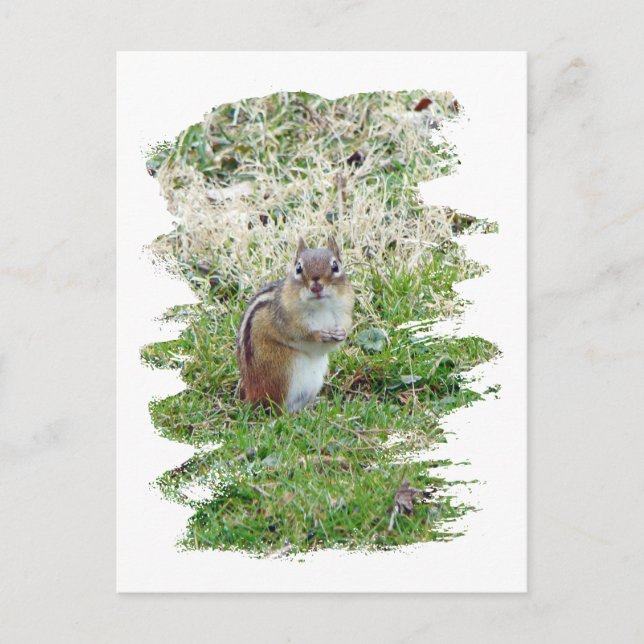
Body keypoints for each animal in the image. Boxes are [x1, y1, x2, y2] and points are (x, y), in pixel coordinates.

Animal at [236, 236, 355, 413]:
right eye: (298, 267)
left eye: (335, 266)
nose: (316, 286)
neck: (321, 307)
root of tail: (251, 394)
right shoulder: (286, 319)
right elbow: (300, 334)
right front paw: (318, 335)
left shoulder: (344, 313)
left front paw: (341, 334)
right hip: (283, 372)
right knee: (277, 409)